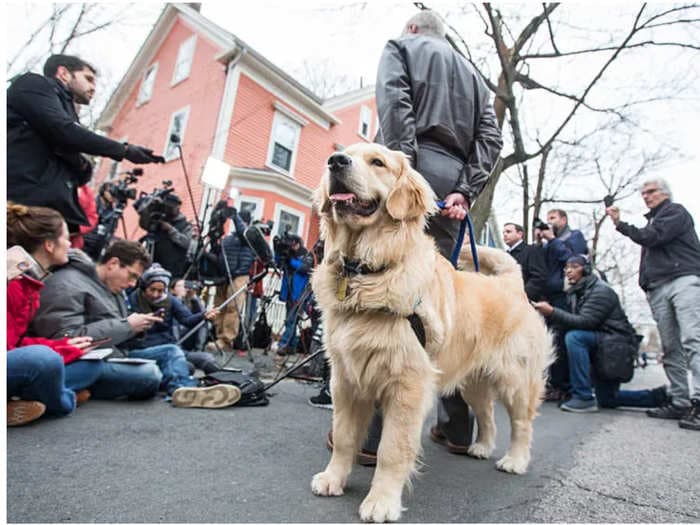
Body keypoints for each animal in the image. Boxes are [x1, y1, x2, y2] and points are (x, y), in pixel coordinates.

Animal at [310, 142, 552, 520]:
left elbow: (392, 449)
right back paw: (481, 447)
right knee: (487, 416)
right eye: (345, 153)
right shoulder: (346, 379)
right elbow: (345, 435)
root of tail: (513, 284)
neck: (367, 271)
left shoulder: (408, 385)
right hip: (473, 383)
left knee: (522, 423)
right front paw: (333, 478)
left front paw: (382, 501)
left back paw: (515, 460)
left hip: (515, 380)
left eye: (377, 162)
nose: (336, 161)